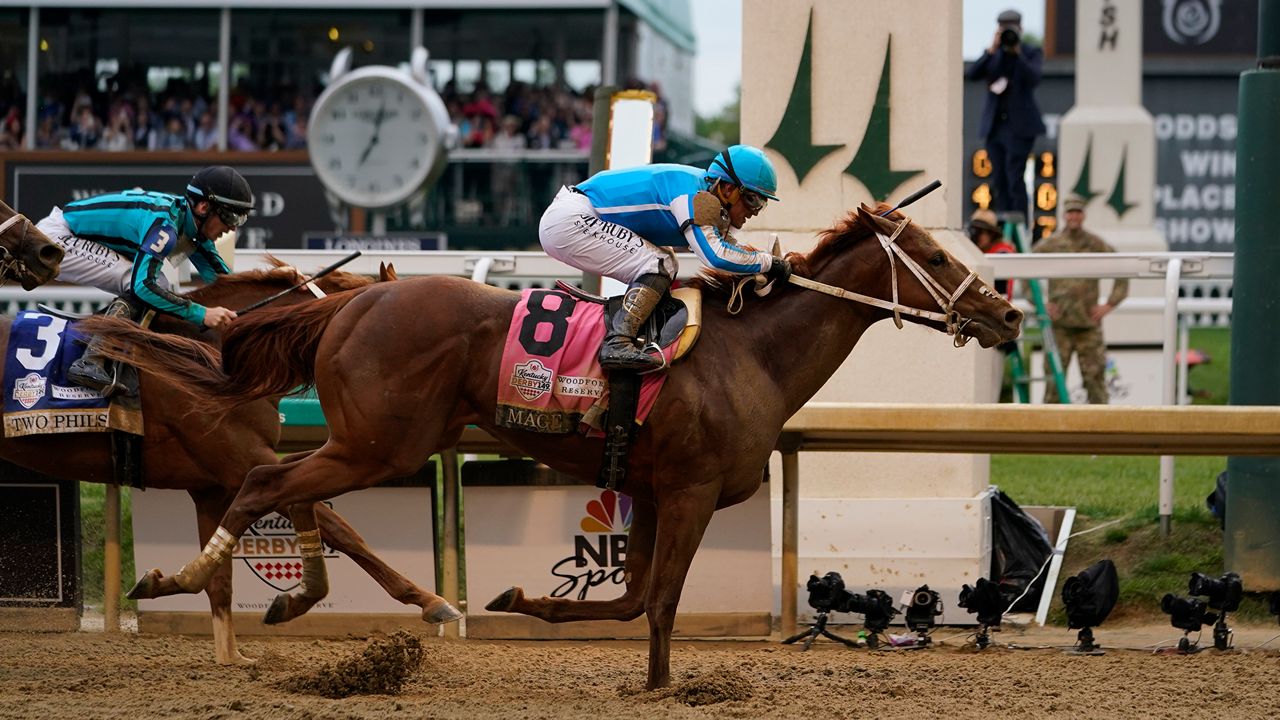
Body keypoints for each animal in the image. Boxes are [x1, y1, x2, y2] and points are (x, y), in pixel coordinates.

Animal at [1, 260, 455, 661]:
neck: (213, 358)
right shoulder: (243, 463)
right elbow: (342, 530)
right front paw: (429, 600)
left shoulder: (211, 486)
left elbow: (220, 576)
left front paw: (230, 653)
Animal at [80, 204, 1018, 686]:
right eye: (938, 255)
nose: (1007, 314)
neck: (748, 353)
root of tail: (351, 302)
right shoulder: (690, 491)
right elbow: (660, 600)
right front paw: (660, 683)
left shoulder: (651, 487)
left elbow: (630, 597)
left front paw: (522, 599)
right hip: (381, 443)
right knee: (265, 483)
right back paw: (182, 579)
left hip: (375, 442)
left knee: (279, 485)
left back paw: (268, 596)